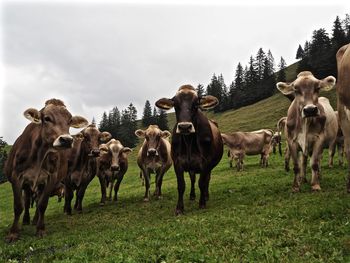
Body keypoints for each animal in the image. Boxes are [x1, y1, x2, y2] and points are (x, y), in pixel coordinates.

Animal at [4, 99, 88, 243]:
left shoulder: (51, 178)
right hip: (27, 186)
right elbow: (18, 205)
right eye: (47, 118)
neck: (39, 154)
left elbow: (42, 204)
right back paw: (26, 220)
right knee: (27, 201)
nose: (67, 140)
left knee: (37, 202)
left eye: (70, 121)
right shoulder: (16, 177)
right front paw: (13, 233)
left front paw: (40, 229)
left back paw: (35, 220)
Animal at [155, 85, 223, 216]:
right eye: (175, 104)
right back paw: (192, 195)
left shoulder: (205, 162)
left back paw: (206, 195)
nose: (185, 127)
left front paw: (202, 203)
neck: (189, 142)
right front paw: (179, 208)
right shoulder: (178, 162)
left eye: (196, 104)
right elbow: (181, 185)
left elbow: (202, 183)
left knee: (207, 179)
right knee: (192, 179)